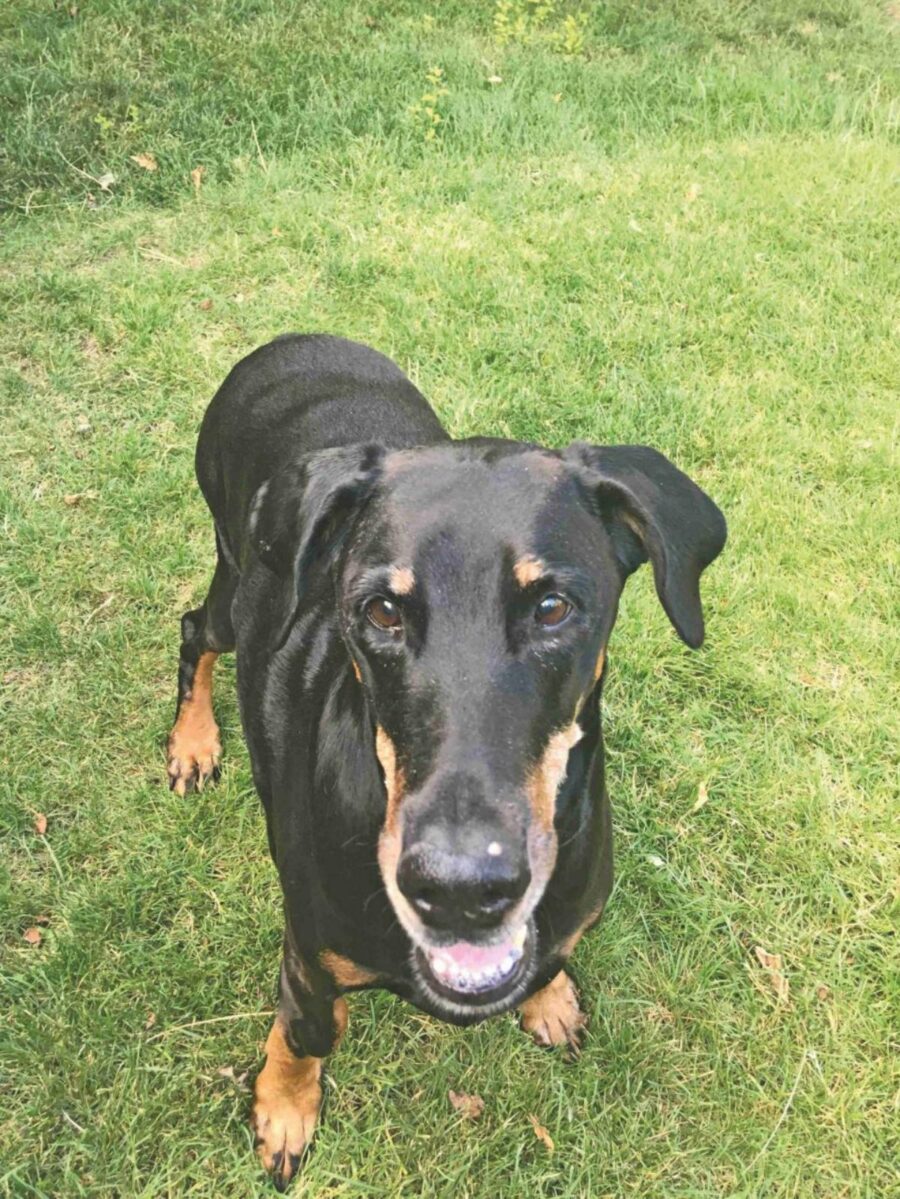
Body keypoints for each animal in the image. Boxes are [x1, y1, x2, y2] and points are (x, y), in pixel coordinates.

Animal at [165, 333, 723, 1184]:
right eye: (380, 611)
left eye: (552, 606)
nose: (462, 890)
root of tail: (290, 342)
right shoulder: (310, 955)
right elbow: (306, 1032)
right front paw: (284, 1108)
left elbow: (551, 956)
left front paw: (550, 997)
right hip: (236, 581)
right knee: (197, 629)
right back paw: (193, 740)